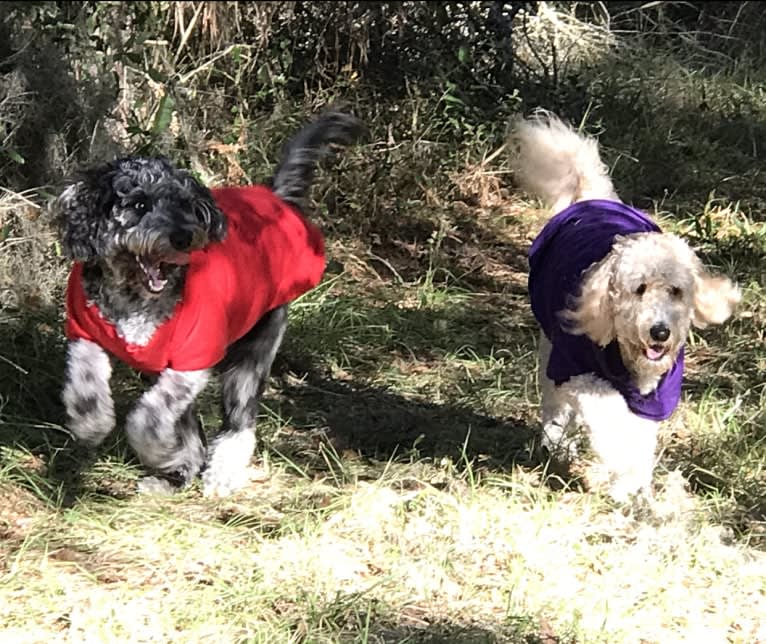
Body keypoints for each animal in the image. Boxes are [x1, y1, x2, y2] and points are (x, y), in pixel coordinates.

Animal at [54, 108, 366, 496]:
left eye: (185, 205)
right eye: (139, 204)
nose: (184, 236)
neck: (134, 298)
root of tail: (275, 198)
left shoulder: (193, 361)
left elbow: (149, 420)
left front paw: (155, 448)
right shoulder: (86, 334)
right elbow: (86, 384)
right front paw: (91, 425)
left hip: (252, 352)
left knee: (239, 422)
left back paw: (221, 473)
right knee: (192, 430)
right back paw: (174, 474)